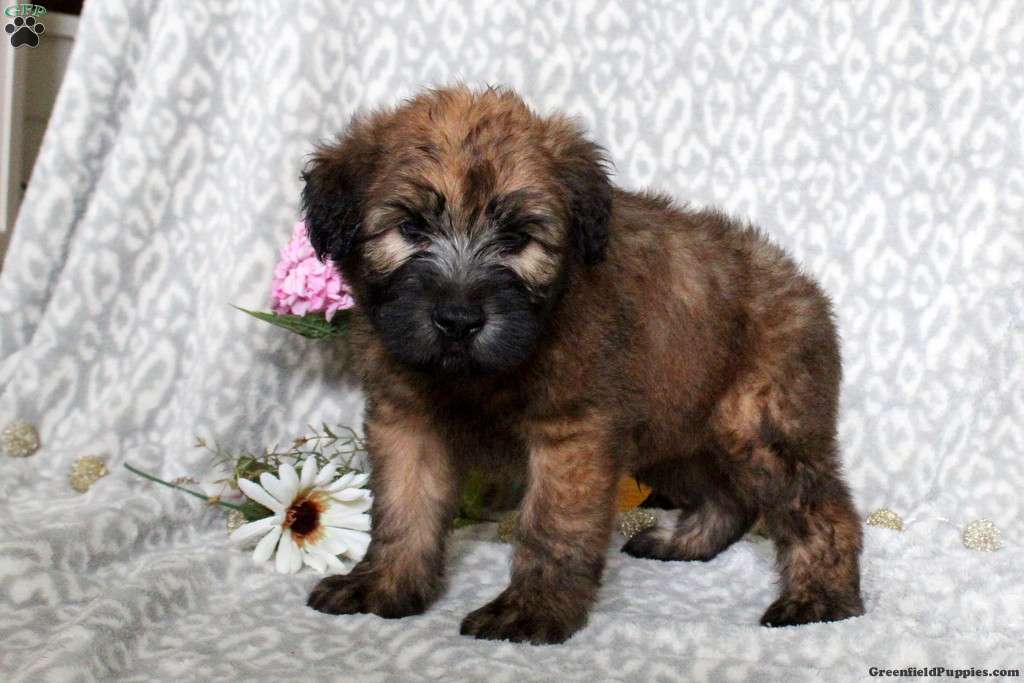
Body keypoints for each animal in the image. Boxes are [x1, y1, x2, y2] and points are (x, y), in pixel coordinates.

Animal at [301, 82, 864, 643]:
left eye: (517, 238)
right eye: (410, 228)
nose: (458, 320)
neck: (480, 375)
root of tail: (801, 285)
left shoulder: (572, 432)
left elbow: (552, 524)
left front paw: (533, 607)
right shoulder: (407, 422)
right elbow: (403, 510)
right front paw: (384, 584)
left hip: (760, 429)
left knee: (822, 509)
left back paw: (822, 598)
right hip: (675, 426)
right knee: (728, 495)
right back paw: (685, 543)